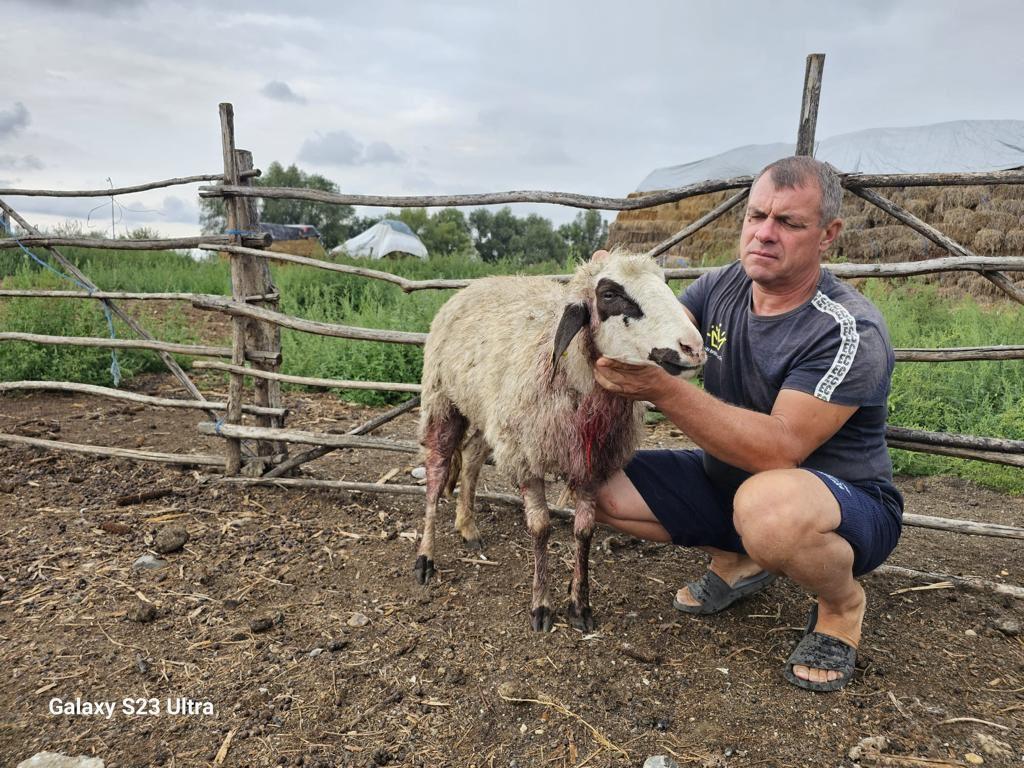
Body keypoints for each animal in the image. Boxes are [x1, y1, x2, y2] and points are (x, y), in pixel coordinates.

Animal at [415, 249, 704, 634]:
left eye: (665, 283)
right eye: (609, 294)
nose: (694, 348)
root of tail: (475, 285)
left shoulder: (591, 464)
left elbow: (584, 532)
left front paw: (580, 606)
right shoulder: (527, 458)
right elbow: (540, 529)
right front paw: (541, 606)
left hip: (488, 412)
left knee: (473, 458)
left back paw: (468, 528)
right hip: (442, 400)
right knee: (436, 476)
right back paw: (425, 558)